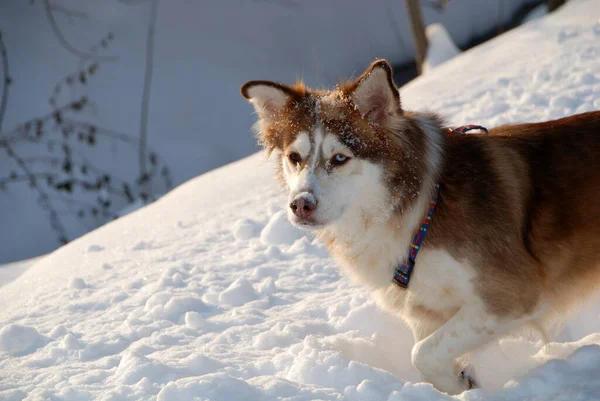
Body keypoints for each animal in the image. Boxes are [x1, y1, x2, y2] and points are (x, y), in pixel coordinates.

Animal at [239, 60, 600, 394]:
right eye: (294, 158)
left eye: (340, 158)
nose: (300, 204)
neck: (422, 213)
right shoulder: (426, 312)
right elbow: (429, 354)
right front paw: (463, 385)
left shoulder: (512, 294)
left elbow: (422, 355)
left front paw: (462, 385)